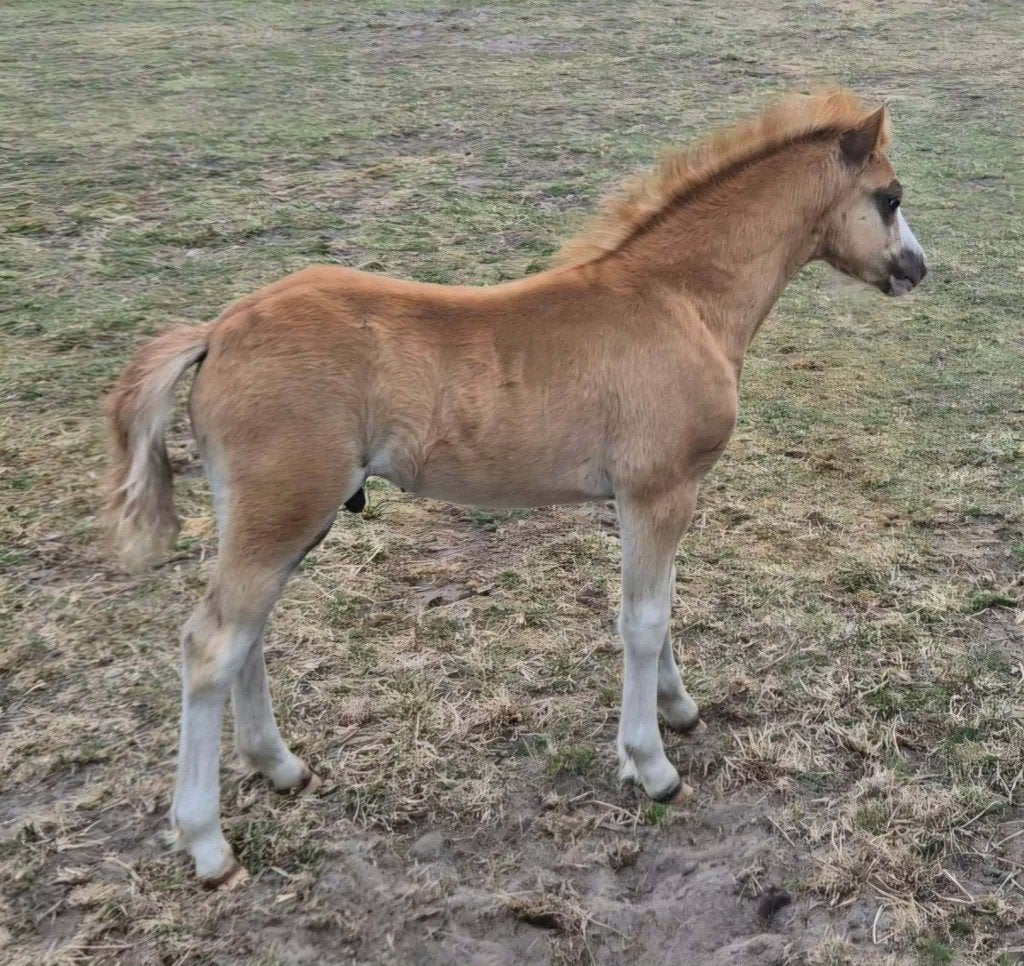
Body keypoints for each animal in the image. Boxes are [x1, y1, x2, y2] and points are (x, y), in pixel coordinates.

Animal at [104, 89, 926, 887]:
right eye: (889, 197)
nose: (917, 268)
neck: (678, 300)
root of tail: (216, 331)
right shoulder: (659, 492)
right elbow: (642, 621)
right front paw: (651, 764)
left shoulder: (648, 500)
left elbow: (656, 607)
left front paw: (679, 708)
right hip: (282, 511)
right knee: (212, 645)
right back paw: (207, 844)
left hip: (270, 518)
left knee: (248, 635)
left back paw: (280, 767)